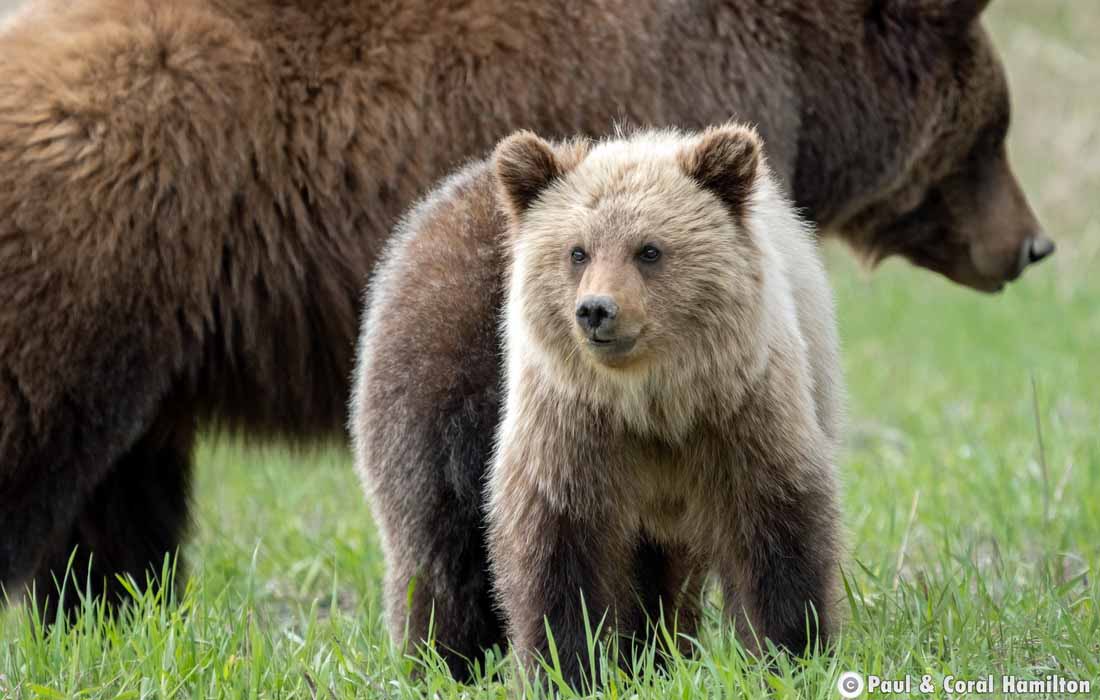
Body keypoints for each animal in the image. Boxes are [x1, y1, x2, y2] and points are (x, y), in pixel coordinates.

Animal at [0, 0, 1047, 620]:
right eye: (995, 129)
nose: (1032, 244)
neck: (798, 74)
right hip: (90, 269)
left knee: (121, 499)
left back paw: (111, 611)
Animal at [481, 124, 840, 682]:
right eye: (577, 252)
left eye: (648, 250)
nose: (596, 310)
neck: (652, 402)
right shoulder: (573, 429)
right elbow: (559, 550)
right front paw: (564, 666)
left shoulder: (742, 416)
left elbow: (776, 531)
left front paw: (790, 651)